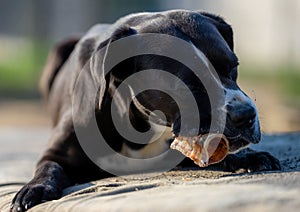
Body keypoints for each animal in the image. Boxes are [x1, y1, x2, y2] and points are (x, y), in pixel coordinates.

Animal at [10, 9, 280, 210]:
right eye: (188, 83)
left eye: (233, 67)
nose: (246, 116)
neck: (143, 123)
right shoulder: (56, 154)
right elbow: (50, 167)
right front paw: (35, 188)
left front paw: (248, 158)